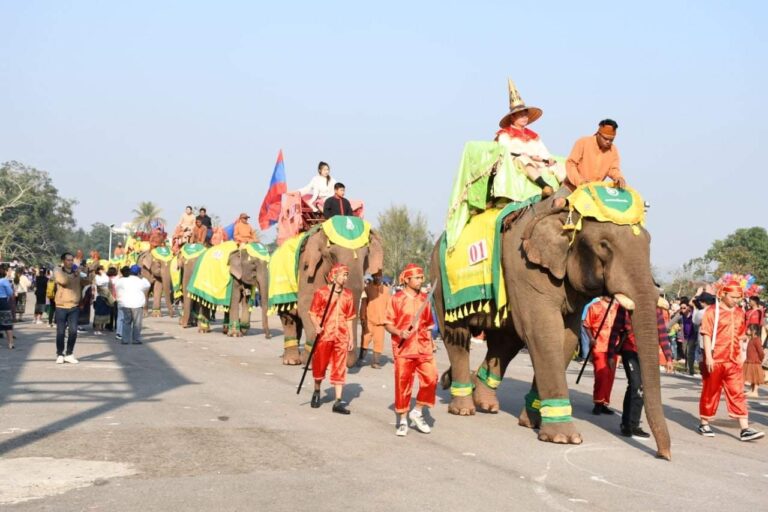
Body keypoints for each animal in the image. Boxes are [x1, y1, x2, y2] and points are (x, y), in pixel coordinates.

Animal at [280, 227, 384, 364]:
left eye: (366, 257)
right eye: (332, 256)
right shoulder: (307, 271)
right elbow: (307, 305)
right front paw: (311, 360)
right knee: (288, 318)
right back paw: (291, 360)